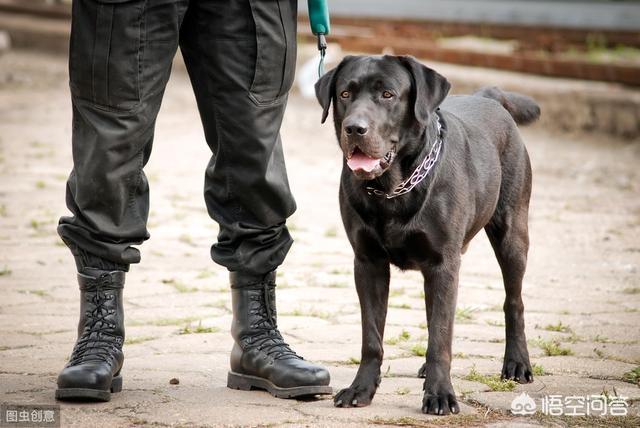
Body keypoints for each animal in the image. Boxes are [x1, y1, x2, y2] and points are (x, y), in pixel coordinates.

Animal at [316, 56, 540, 414]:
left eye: (388, 94)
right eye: (345, 94)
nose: (354, 128)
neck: (392, 188)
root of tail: (488, 96)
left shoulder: (443, 263)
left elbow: (440, 336)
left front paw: (440, 394)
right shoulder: (367, 262)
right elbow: (373, 337)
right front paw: (361, 389)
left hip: (512, 233)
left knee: (513, 301)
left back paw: (517, 363)